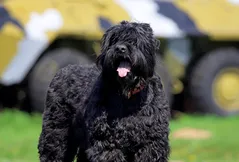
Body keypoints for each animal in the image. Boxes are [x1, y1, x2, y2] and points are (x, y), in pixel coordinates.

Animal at [37, 20, 170, 161]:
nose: (120, 48)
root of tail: (61, 71)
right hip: (56, 134)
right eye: (114, 39)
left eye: (135, 40)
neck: (128, 97)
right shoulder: (107, 143)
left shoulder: (151, 144)